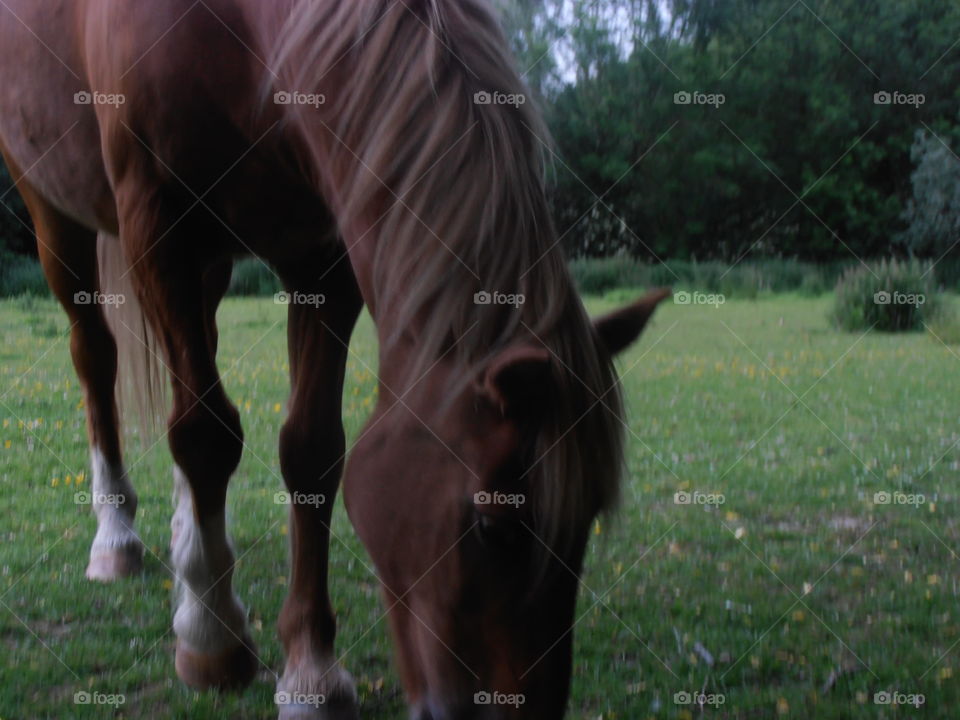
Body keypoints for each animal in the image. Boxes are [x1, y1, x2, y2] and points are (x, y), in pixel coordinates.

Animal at [0, 0, 668, 716]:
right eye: (493, 526)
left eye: (588, 520)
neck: (241, 32)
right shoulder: (160, 222)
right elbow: (205, 433)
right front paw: (212, 639)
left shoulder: (324, 253)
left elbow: (312, 450)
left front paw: (310, 668)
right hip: (53, 211)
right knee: (97, 359)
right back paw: (118, 537)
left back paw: (189, 539)